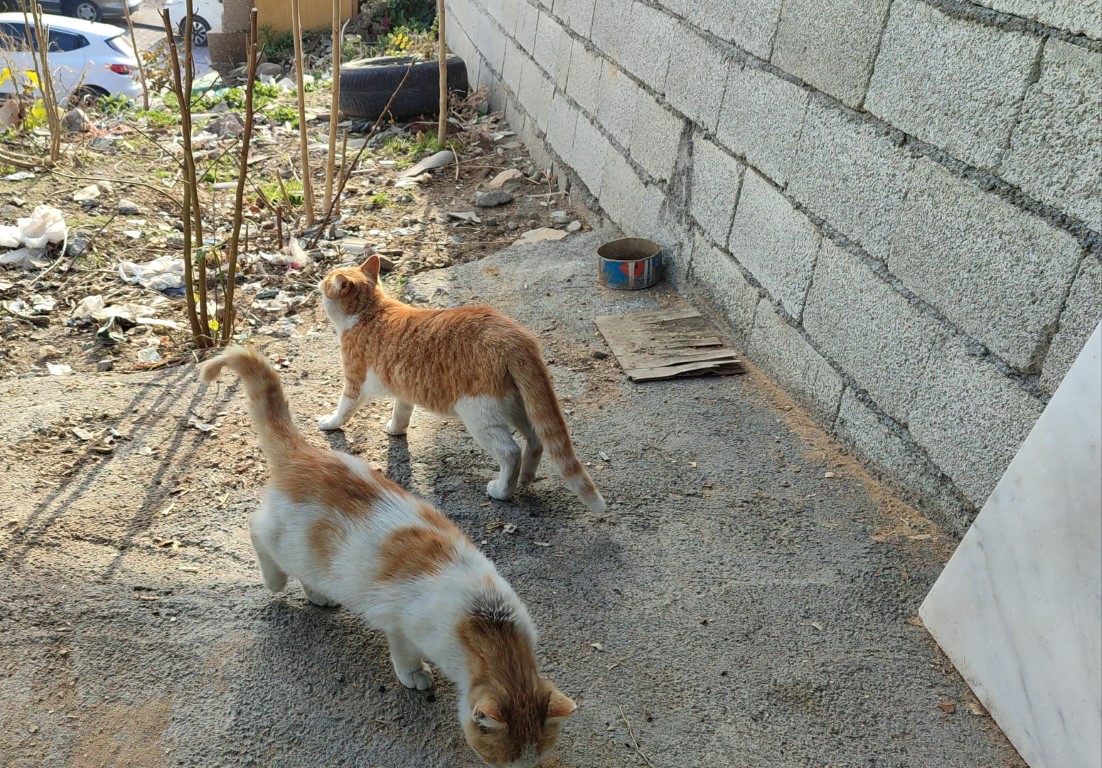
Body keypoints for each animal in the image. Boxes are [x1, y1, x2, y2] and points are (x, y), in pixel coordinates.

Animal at [200, 343, 577, 762]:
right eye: (503, 761)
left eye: (535, 760)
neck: (485, 619)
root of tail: (303, 453)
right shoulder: (401, 623)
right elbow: (404, 652)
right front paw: (413, 675)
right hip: (284, 539)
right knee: (257, 531)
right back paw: (275, 580)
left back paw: (319, 596)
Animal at [319, 254, 608, 511]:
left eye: (325, 280)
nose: (319, 282)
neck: (369, 310)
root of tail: (515, 338)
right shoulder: (405, 388)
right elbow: (401, 412)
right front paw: (395, 428)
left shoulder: (354, 381)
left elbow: (344, 409)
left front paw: (330, 423)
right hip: (520, 405)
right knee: (536, 439)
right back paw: (525, 479)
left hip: (479, 416)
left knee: (510, 452)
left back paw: (503, 491)